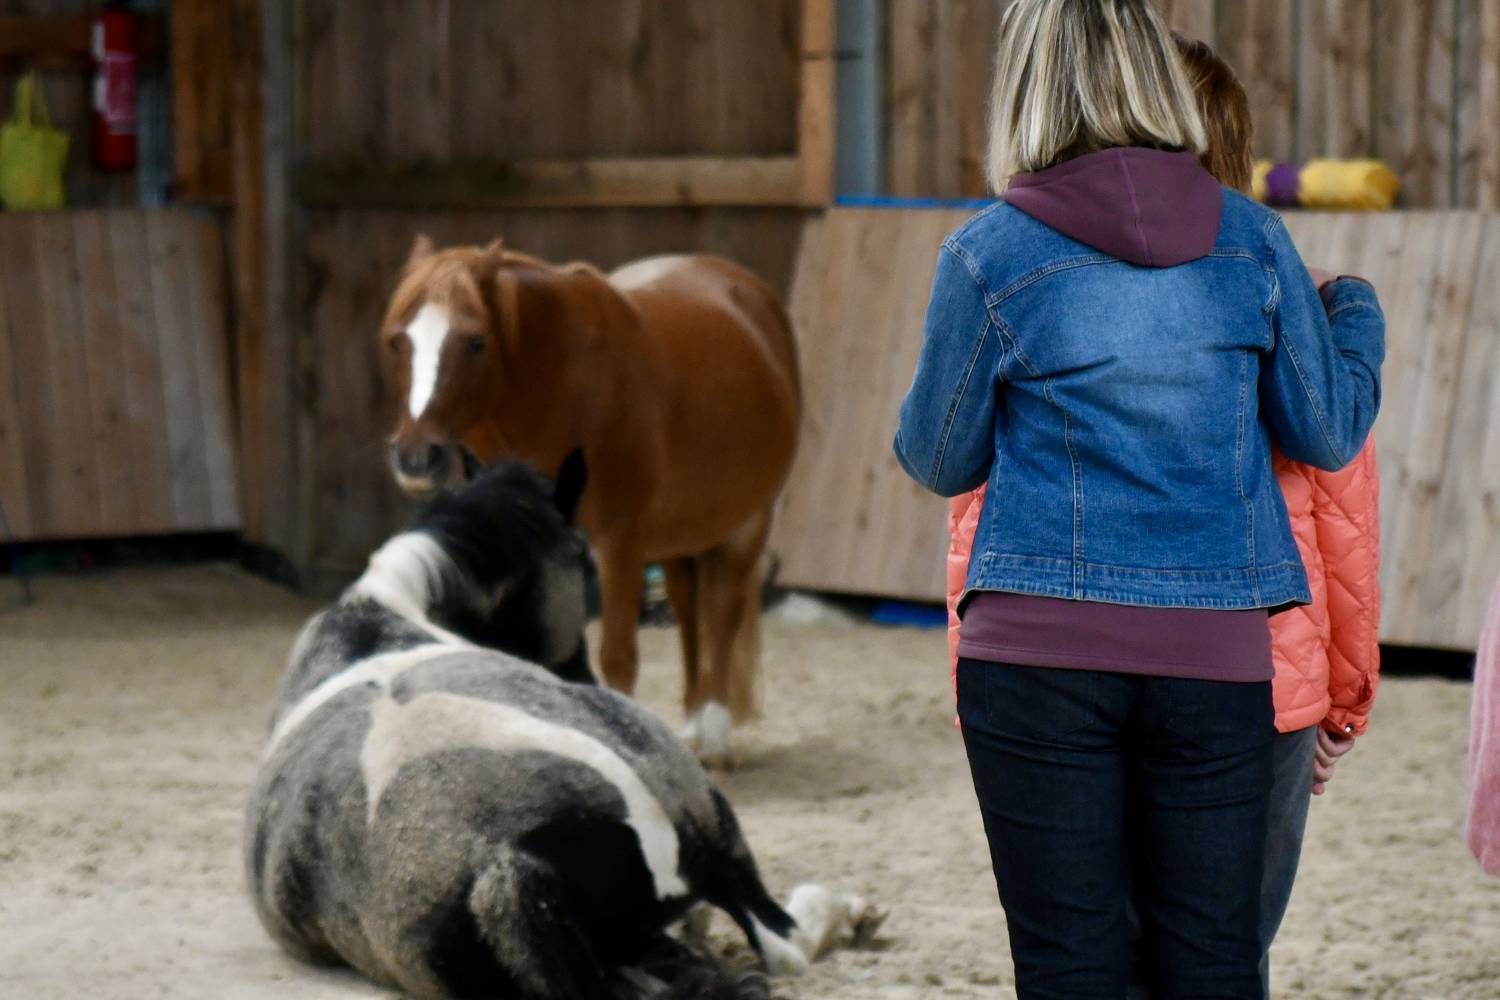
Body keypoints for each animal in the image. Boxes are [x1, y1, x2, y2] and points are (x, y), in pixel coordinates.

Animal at [243, 458, 876, 1000]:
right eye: (584, 559)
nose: (583, 672)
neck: (377, 619)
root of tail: (512, 863)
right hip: (716, 839)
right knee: (785, 944)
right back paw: (850, 916)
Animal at [381, 238, 804, 761]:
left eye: (476, 341)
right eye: (397, 341)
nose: (416, 457)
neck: (564, 388)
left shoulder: (618, 546)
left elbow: (618, 658)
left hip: (747, 525)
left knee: (723, 614)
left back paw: (712, 737)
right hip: (679, 536)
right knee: (688, 611)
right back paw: (690, 726)